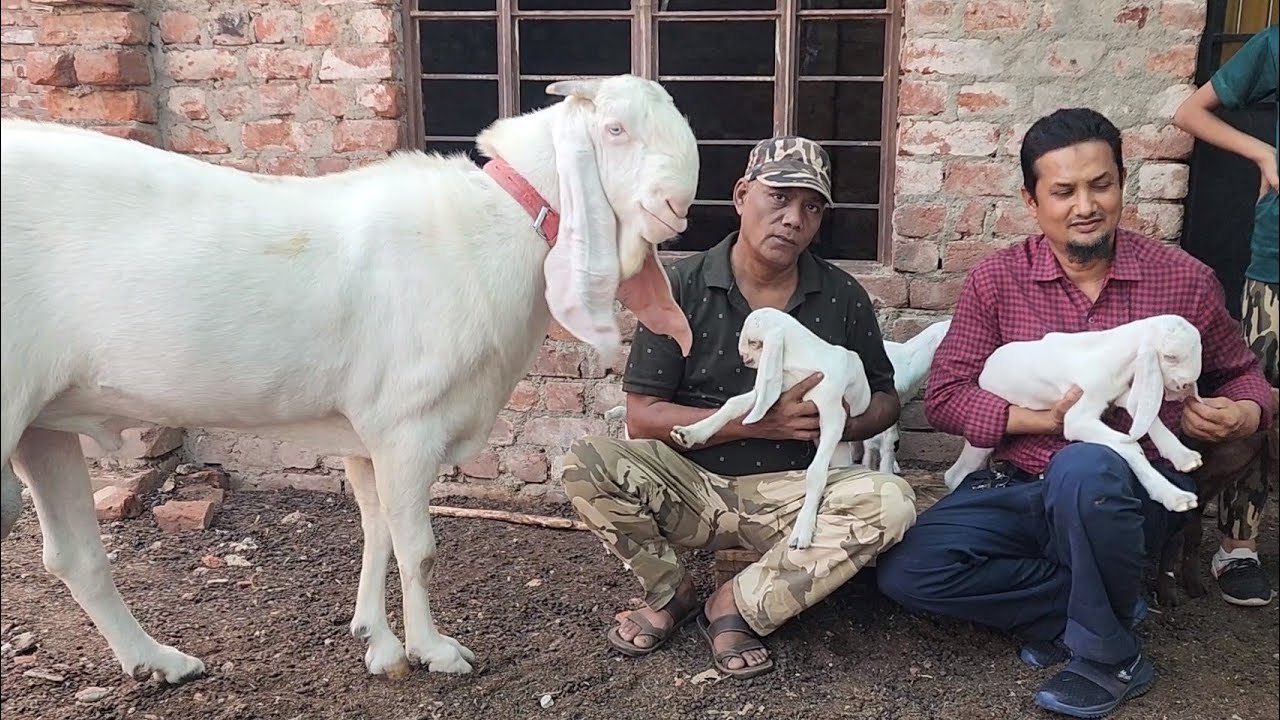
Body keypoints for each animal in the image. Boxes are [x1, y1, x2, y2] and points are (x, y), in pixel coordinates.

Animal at [0, 74, 698, 684]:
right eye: (614, 129)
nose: (677, 208)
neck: (494, 225)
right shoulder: (407, 425)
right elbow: (418, 546)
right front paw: (431, 651)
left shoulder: (365, 431)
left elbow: (376, 528)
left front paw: (377, 640)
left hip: (43, 425)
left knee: (75, 556)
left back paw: (158, 661)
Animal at [668, 308, 872, 550]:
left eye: (754, 342)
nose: (744, 358)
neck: (807, 362)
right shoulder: (777, 389)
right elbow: (735, 403)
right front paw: (690, 433)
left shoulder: (833, 416)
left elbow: (815, 473)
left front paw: (802, 530)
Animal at [941, 314, 1203, 514]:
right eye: (1170, 357)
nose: (1186, 387)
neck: (1111, 353)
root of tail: (987, 366)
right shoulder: (1076, 419)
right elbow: (1129, 446)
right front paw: (1173, 495)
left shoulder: (1118, 393)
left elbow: (1147, 416)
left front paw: (1183, 456)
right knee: (957, 472)